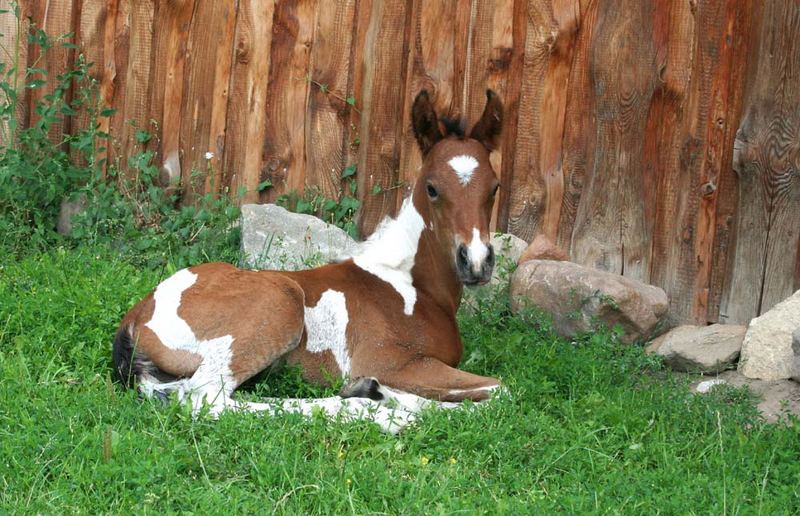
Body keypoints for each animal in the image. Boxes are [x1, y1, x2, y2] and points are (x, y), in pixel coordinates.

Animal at [112, 87, 504, 432]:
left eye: (494, 188)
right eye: (432, 188)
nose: (476, 262)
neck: (410, 284)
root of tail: (139, 311)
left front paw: (378, 392)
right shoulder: (395, 362)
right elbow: (499, 391)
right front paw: (388, 398)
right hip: (280, 301)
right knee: (205, 399)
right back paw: (373, 411)